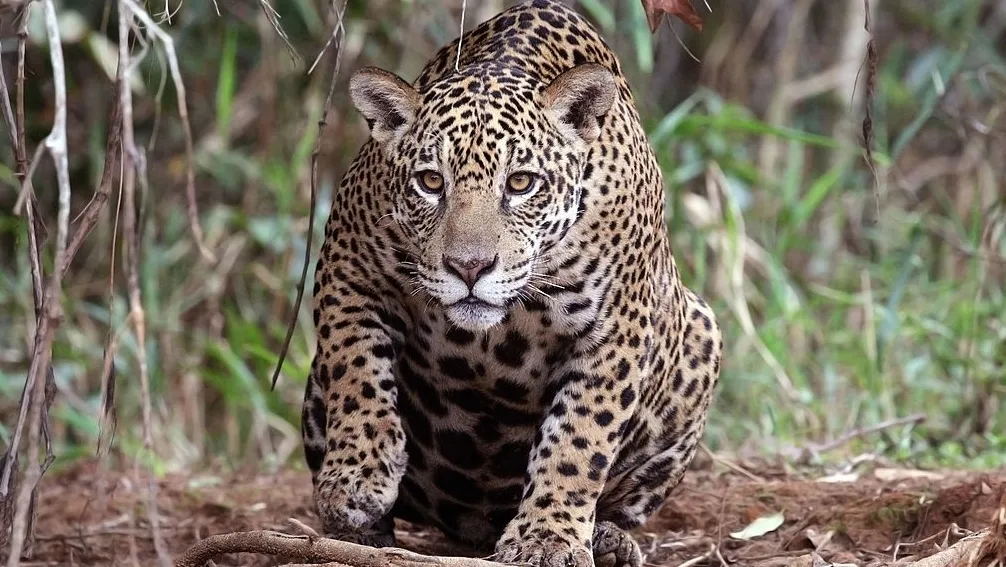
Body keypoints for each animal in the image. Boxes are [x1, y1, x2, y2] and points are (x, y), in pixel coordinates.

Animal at [300, 1, 723, 566]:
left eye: (521, 183)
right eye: (430, 181)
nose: (469, 267)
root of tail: (473, 528)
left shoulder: (617, 329)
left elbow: (580, 438)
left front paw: (547, 537)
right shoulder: (348, 264)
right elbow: (356, 368)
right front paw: (356, 478)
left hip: (701, 332)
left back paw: (608, 540)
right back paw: (358, 536)